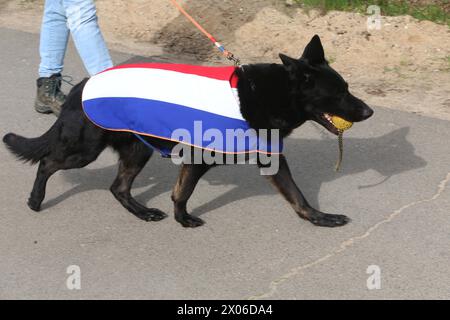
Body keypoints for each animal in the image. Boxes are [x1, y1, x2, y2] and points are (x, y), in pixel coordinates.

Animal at [3, 35, 372, 228]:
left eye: (347, 88)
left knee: (117, 187)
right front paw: (183, 219)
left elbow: (298, 196)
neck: (267, 93)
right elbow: (182, 192)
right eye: (338, 93)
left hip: (138, 149)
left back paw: (142, 211)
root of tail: (82, 85)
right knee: (48, 163)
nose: (368, 112)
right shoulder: (198, 159)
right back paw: (35, 200)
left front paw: (319, 218)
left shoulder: (271, 161)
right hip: (86, 148)